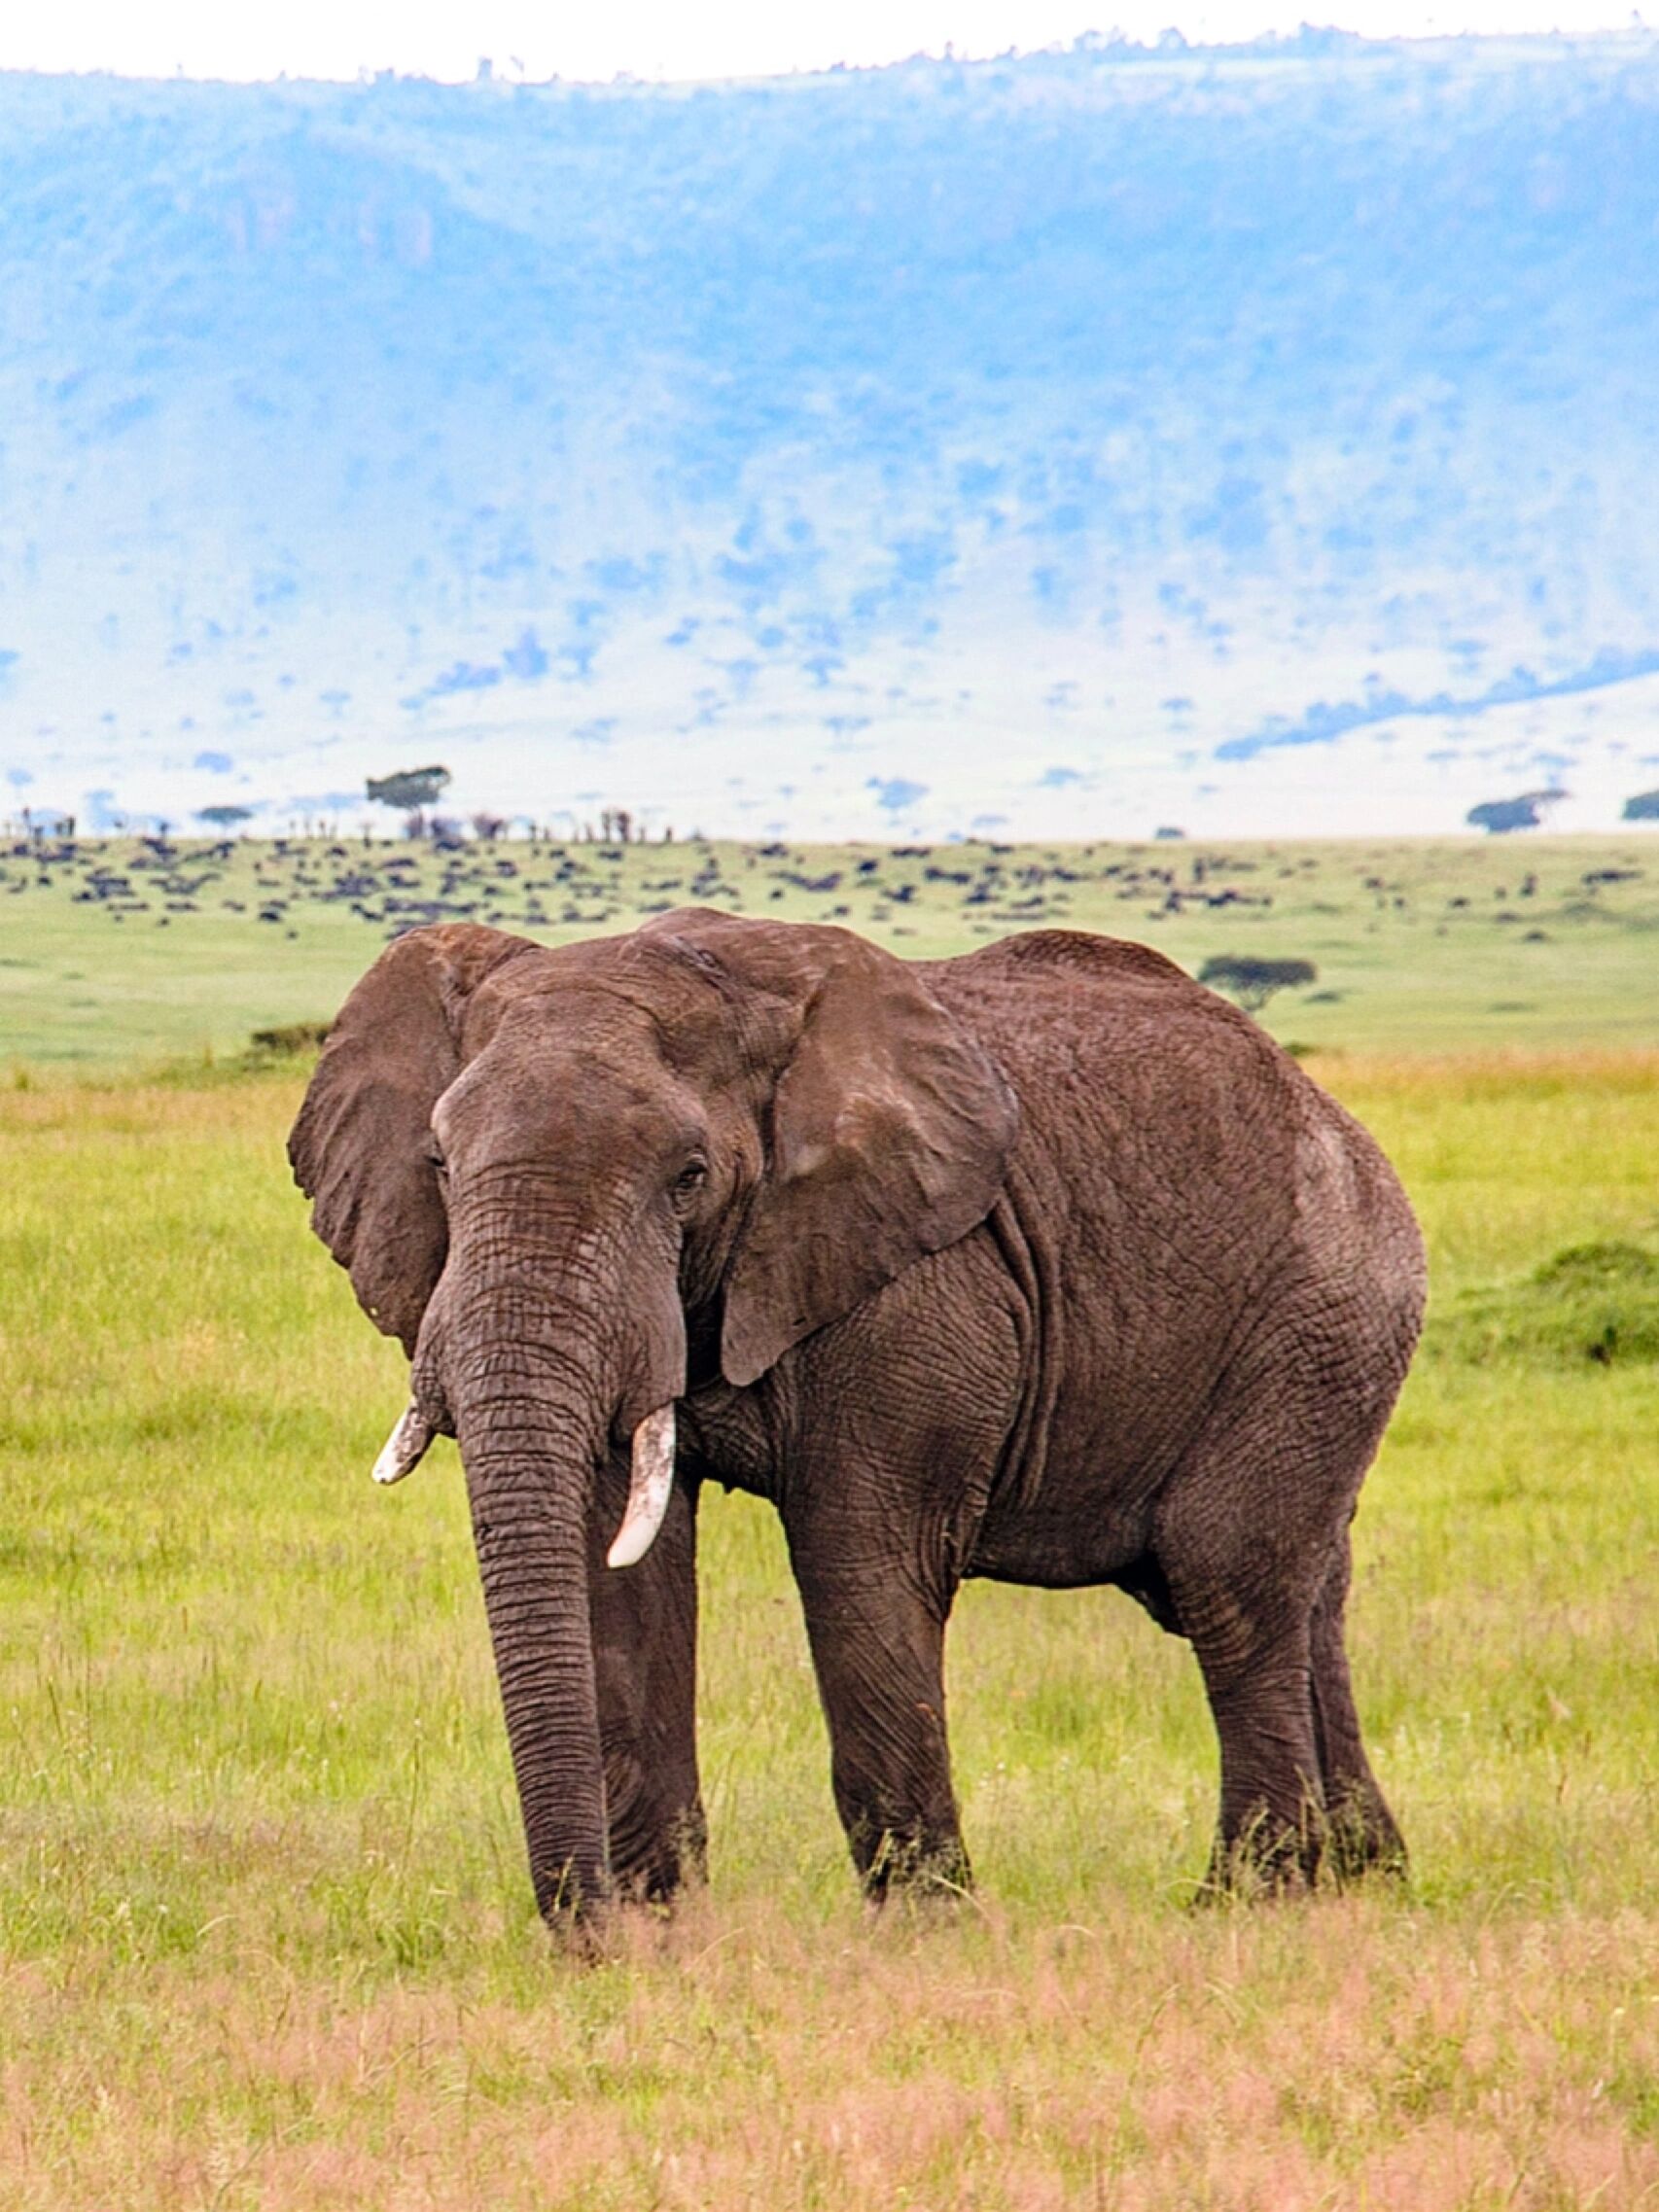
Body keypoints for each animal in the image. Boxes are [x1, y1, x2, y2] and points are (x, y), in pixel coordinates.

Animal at [289, 909, 1425, 1924]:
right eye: (439, 1165)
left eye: (688, 1177)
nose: (582, 1931)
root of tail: (1335, 1118)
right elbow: (621, 1566)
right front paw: (663, 1930)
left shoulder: (921, 1285)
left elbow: (863, 1558)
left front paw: (926, 1927)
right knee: (1299, 1587)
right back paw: (1366, 1880)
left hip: (1321, 1315)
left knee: (1224, 1580)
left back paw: (1247, 1901)